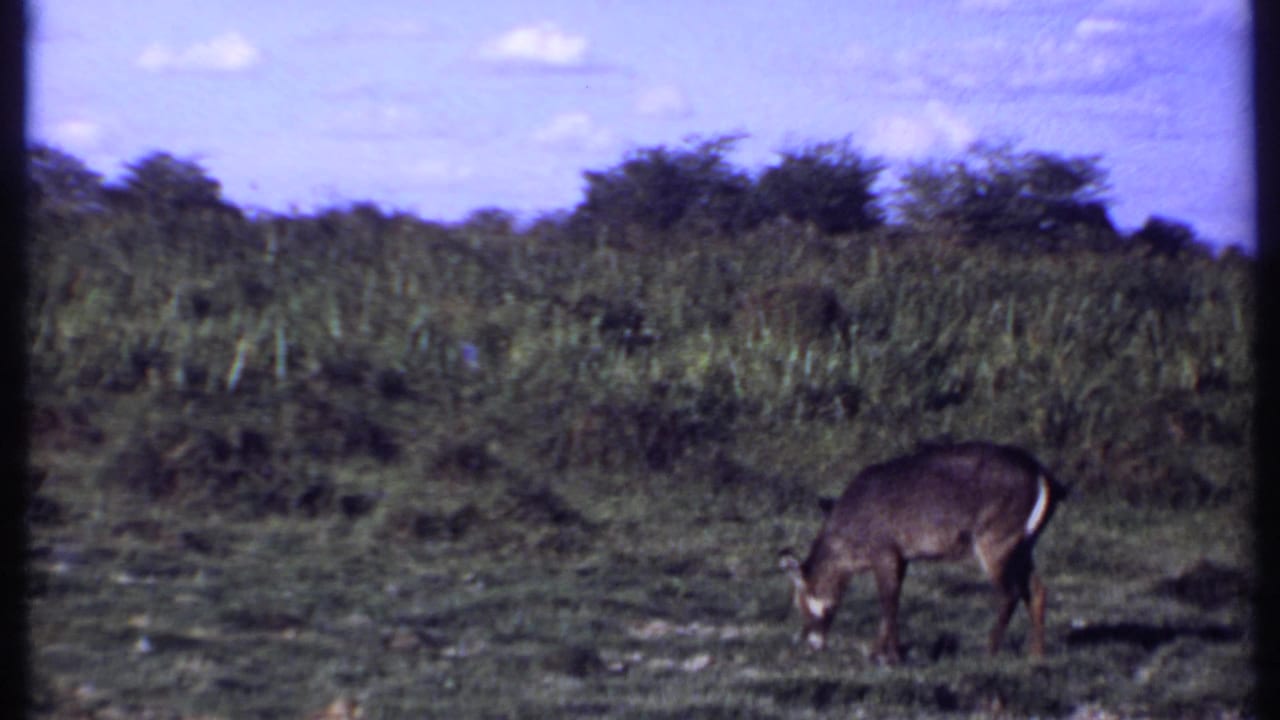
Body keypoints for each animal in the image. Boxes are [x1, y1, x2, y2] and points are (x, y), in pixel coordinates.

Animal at [779, 441, 1063, 664]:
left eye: (799, 601)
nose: (812, 643)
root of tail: (1041, 474)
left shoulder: (884, 553)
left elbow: (889, 603)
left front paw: (886, 655)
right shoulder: (902, 558)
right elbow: (893, 601)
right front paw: (882, 652)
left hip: (994, 543)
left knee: (1009, 594)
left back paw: (989, 650)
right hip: (1024, 546)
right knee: (1037, 590)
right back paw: (1037, 655)